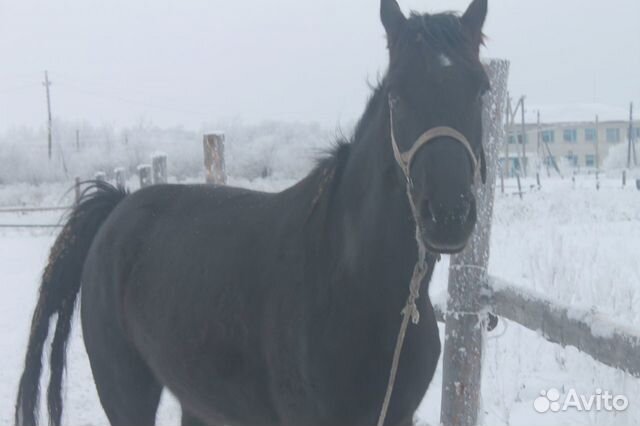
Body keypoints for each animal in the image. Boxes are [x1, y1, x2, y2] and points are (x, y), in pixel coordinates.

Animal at [15, 0, 488, 426]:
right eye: (396, 95)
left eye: (481, 89)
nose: (448, 214)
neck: (351, 282)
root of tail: (116, 207)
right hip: (125, 392)